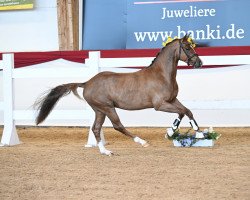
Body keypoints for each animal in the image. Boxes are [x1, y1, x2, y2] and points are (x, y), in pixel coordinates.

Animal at [35, 35, 202, 155]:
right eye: (187, 48)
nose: (199, 63)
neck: (161, 75)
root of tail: (87, 83)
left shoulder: (172, 100)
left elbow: (186, 111)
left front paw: (176, 132)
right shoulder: (160, 105)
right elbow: (182, 111)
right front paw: (191, 134)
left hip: (99, 110)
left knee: (96, 128)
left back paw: (105, 151)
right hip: (108, 108)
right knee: (118, 126)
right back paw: (142, 142)